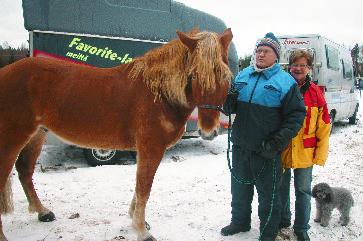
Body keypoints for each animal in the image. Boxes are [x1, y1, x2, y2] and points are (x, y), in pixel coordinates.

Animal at [0, 28, 233, 241]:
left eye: (225, 76)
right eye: (194, 75)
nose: (208, 131)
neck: (158, 93)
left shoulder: (143, 150)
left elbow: (139, 187)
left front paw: (136, 221)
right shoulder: (151, 148)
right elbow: (144, 187)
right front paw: (142, 231)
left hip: (36, 136)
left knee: (25, 171)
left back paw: (43, 212)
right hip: (12, 139)